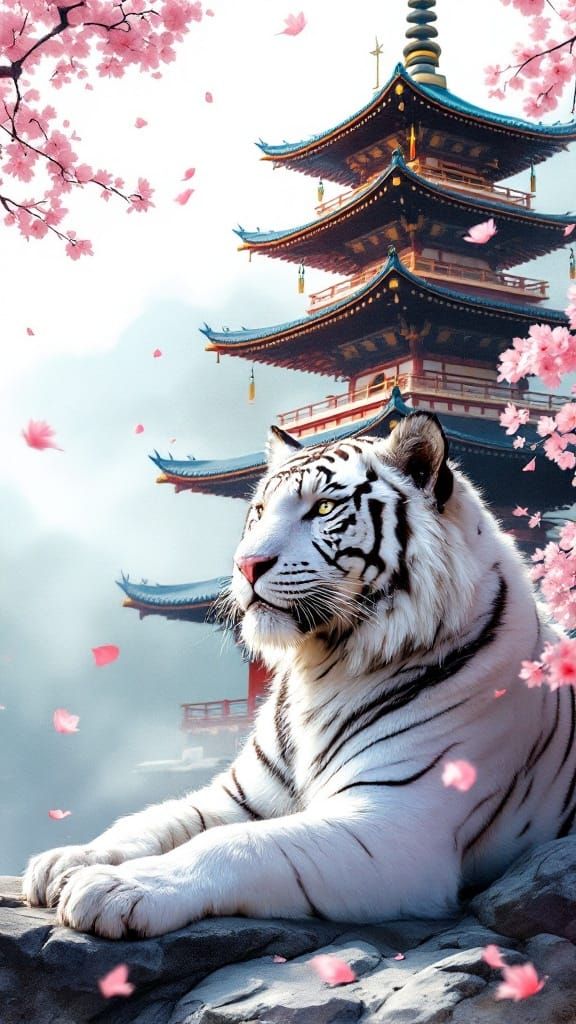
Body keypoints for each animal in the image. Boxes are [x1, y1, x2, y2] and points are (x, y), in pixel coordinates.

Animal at [23, 411, 574, 940]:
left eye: (324, 509)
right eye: (259, 512)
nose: (246, 565)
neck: (325, 668)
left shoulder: (395, 824)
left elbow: (234, 844)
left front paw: (115, 887)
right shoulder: (241, 796)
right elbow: (156, 818)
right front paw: (67, 859)